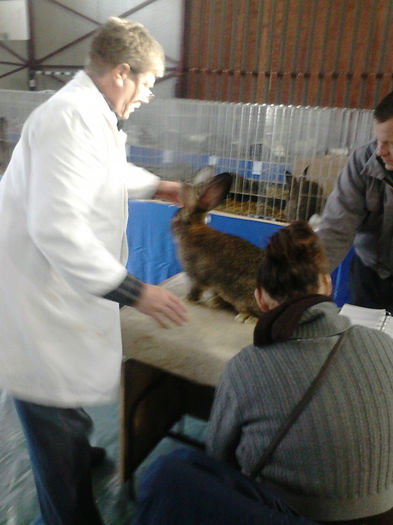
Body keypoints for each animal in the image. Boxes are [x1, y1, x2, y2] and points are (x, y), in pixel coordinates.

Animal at [170, 170, 262, 322]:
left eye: (177, 218)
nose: (170, 226)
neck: (193, 230)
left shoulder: (197, 275)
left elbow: (196, 289)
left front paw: (187, 299)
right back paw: (215, 302)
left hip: (242, 295)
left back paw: (246, 317)